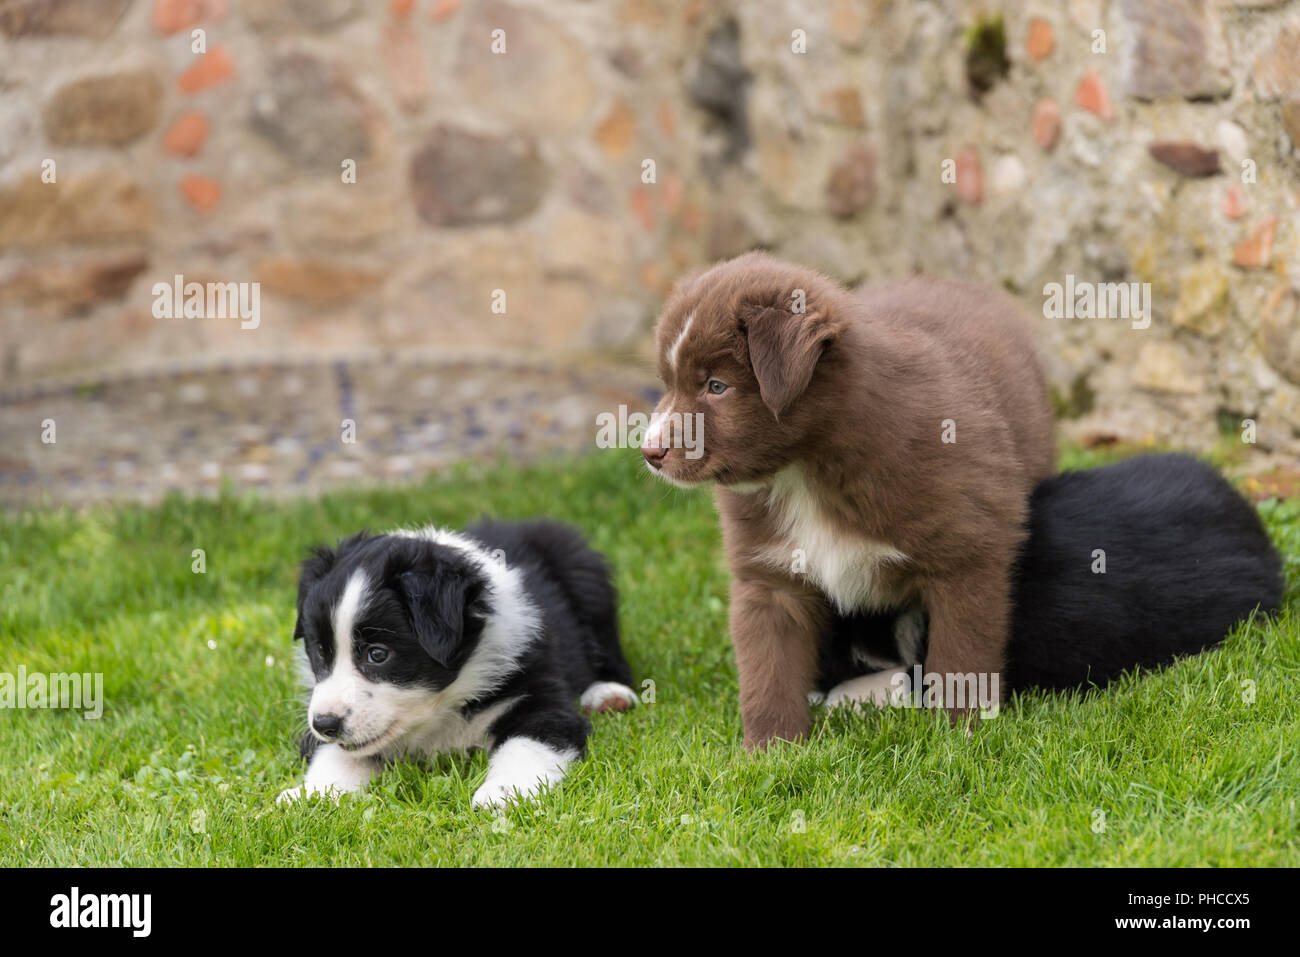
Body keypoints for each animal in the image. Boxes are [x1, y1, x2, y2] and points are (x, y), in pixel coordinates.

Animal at [276, 514, 637, 806]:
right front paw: (311, 794)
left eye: (377, 654)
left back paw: (609, 694)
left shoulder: (540, 698)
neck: (441, 709)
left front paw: (503, 793)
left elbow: (526, 744)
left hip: (584, 574)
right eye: (320, 651)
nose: (325, 723)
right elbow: (336, 755)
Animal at [639, 254, 1055, 748]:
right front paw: (770, 750)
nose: (649, 452)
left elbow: (962, 654)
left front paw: (959, 735)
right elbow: (767, 666)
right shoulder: (769, 573)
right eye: (669, 384)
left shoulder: (968, 553)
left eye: (717, 387)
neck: (804, 473)